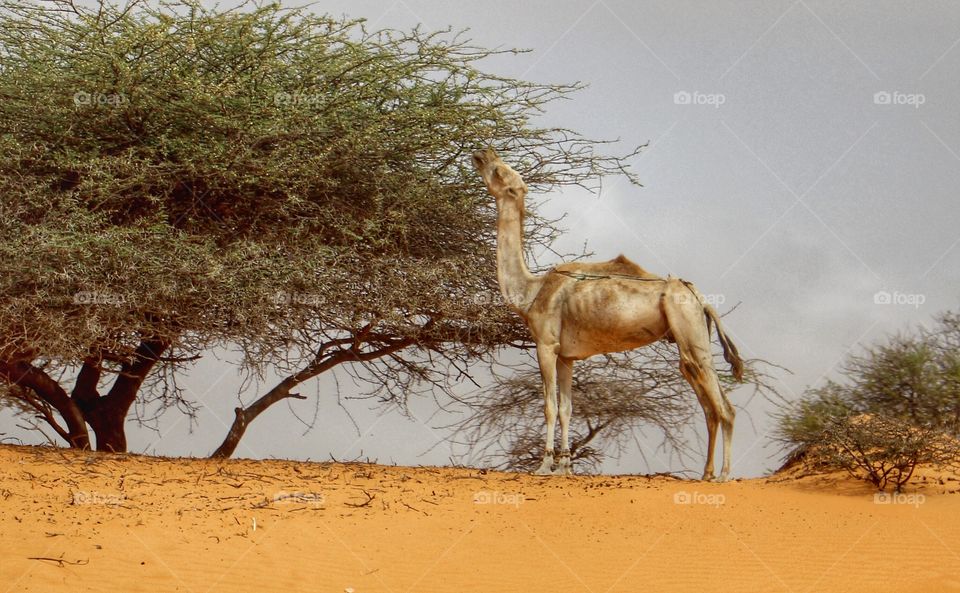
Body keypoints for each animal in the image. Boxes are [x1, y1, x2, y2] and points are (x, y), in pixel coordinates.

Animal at [472, 148, 744, 480]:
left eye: (499, 172)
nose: (482, 154)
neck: (530, 292)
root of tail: (700, 299)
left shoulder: (546, 345)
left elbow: (549, 406)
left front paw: (544, 465)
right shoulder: (566, 356)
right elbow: (567, 409)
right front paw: (565, 466)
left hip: (689, 330)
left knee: (724, 408)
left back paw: (725, 474)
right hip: (689, 339)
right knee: (708, 406)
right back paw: (706, 473)